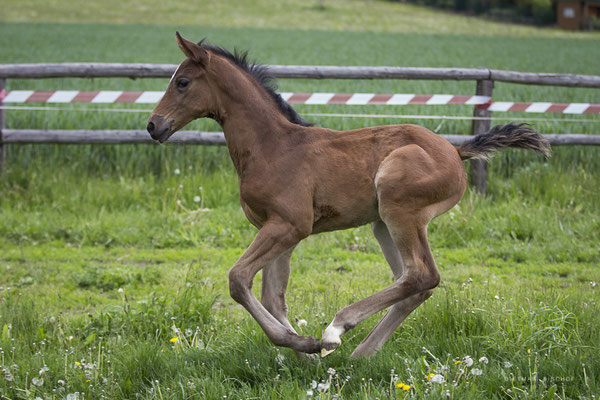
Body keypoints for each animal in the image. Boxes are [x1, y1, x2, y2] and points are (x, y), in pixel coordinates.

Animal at [146, 33, 548, 360]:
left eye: (182, 82)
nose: (153, 125)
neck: (271, 146)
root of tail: (455, 149)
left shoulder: (290, 226)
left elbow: (238, 279)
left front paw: (309, 344)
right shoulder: (276, 229)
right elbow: (273, 296)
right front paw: (305, 353)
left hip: (400, 209)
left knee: (422, 275)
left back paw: (337, 330)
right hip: (384, 224)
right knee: (414, 283)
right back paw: (361, 355)